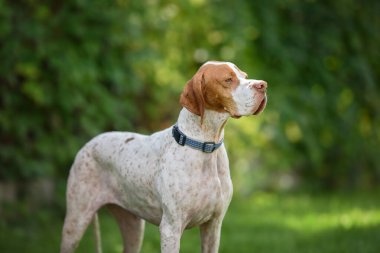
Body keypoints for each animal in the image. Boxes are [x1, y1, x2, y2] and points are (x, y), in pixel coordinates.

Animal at [60, 60, 268, 253]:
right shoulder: (171, 228)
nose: (263, 85)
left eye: (244, 75)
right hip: (76, 221)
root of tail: (89, 143)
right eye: (228, 79)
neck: (205, 147)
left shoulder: (213, 226)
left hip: (133, 226)